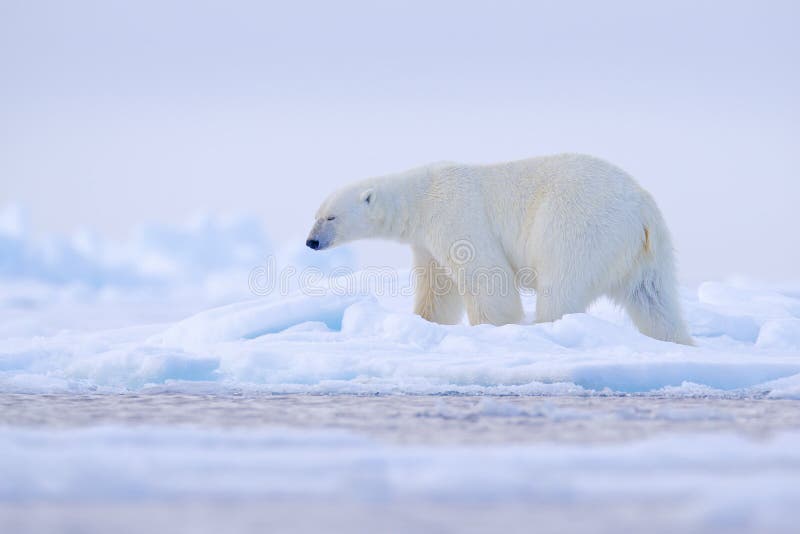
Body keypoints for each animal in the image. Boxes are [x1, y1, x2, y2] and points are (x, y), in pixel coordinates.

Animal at [306, 153, 692, 346]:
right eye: (316, 215)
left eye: (331, 216)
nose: (311, 242)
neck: (420, 197)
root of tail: (640, 207)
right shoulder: (425, 241)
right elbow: (438, 286)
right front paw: (423, 321)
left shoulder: (455, 213)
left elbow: (486, 275)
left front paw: (492, 328)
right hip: (648, 251)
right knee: (654, 299)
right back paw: (677, 340)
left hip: (578, 226)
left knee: (561, 284)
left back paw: (545, 328)